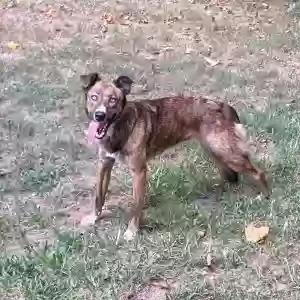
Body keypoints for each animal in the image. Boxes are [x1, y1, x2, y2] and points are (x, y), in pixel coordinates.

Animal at [78, 72, 268, 241]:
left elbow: (136, 206)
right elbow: (98, 196)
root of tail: (221, 105)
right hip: (216, 151)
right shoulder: (104, 164)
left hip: (225, 152)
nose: (99, 115)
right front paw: (93, 218)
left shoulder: (139, 171)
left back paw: (263, 197)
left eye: (112, 100)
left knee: (259, 173)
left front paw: (132, 232)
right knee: (232, 175)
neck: (117, 128)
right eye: (94, 97)